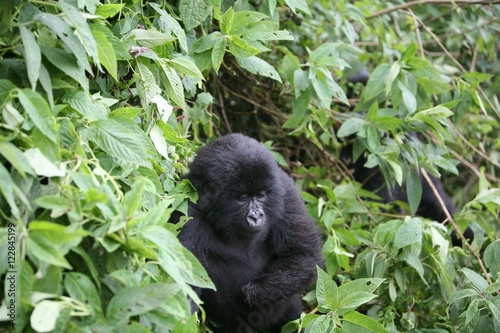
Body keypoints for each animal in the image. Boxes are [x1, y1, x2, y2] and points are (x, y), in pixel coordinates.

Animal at [178, 134, 322, 330]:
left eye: (261, 195)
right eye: (243, 198)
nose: (256, 216)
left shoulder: (286, 192)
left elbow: (303, 255)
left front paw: (256, 291)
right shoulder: (188, 208)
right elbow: (186, 278)